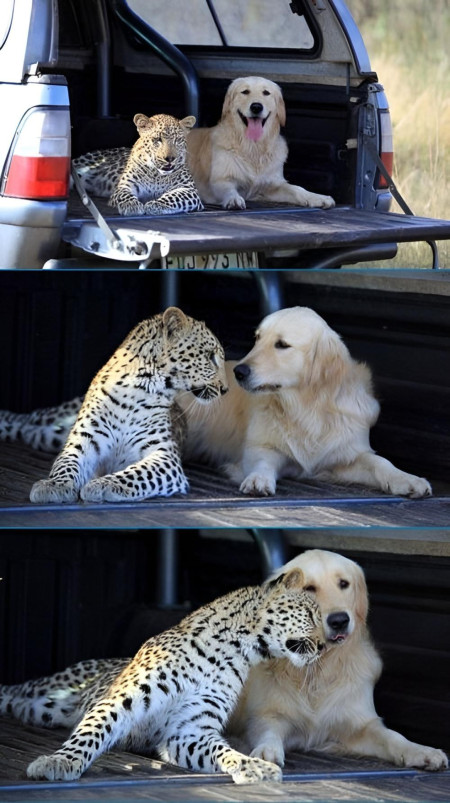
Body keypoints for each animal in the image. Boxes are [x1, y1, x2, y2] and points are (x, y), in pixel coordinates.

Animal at [0, 572, 324, 784]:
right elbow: (91, 733)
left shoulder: (188, 731)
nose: (323, 646)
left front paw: (252, 766)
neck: (231, 651)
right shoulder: (120, 701)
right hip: (44, 690)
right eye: (309, 615)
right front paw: (60, 762)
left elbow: (220, 750)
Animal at [26, 306, 227, 502]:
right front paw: (53, 485)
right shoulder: (84, 440)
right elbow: (66, 462)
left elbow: (138, 474)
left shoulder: (164, 455)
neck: (136, 391)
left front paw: (102, 485)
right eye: (210, 357)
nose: (225, 389)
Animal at [180, 306, 432, 500]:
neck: (307, 407)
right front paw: (258, 479)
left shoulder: (345, 454)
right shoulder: (260, 446)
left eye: (282, 344)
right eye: (257, 338)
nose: (238, 372)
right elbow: (262, 461)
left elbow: (380, 462)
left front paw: (408, 479)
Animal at [185, 76, 334, 210]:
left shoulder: (271, 184)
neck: (253, 147)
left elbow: (297, 188)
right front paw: (234, 199)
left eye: (266, 92)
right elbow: (228, 189)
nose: (256, 107)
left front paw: (318, 197)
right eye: (245, 91)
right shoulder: (220, 180)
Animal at [230, 552, 448, 772]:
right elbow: (268, 731)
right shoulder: (267, 715)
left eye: (344, 583)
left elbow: (392, 736)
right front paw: (266, 752)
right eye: (309, 588)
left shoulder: (359, 724)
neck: (320, 667)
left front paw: (422, 751)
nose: (339, 621)